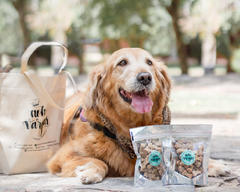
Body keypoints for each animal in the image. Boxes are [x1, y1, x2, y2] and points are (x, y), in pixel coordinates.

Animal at [47, 47, 231, 183]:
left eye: (149, 62)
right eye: (122, 63)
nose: (145, 77)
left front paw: (212, 164)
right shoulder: (60, 157)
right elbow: (99, 161)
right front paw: (91, 171)